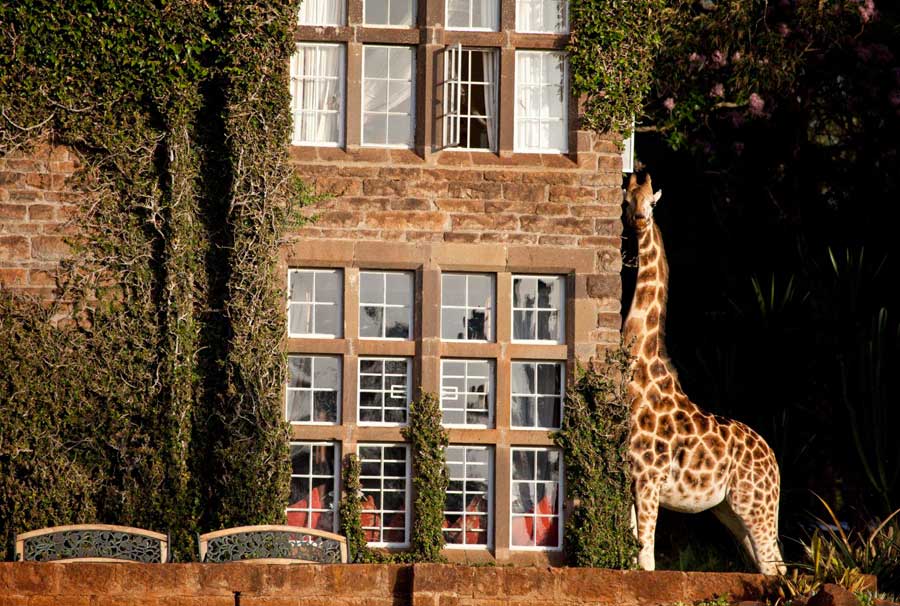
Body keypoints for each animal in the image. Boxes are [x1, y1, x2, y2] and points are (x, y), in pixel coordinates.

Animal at [622, 173, 786, 575]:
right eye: (627, 201)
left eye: (651, 204)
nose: (639, 221)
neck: (642, 369)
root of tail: (775, 461)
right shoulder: (631, 475)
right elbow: (635, 553)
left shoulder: (649, 476)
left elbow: (647, 558)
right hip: (729, 510)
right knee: (766, 563)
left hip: (756, 505)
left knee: (776, 566)